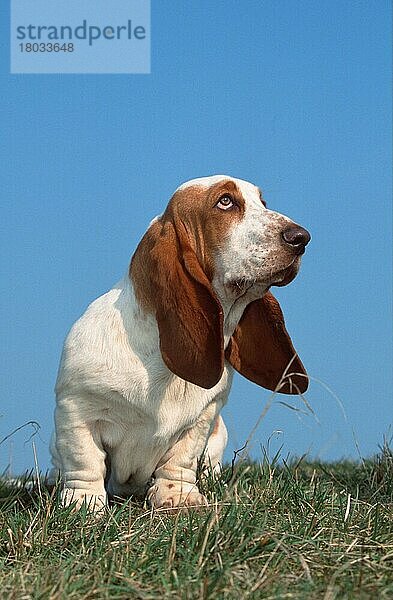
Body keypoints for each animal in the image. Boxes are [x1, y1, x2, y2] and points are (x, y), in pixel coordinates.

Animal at [50, 173, 310, 510]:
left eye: (262, 202)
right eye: (225, 201)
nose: (301, 238)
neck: (158, 368)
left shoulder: (203, 418)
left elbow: (181, 459)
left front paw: (178, 497)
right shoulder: (77, 408)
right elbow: (85, 460)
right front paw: (84, 504)